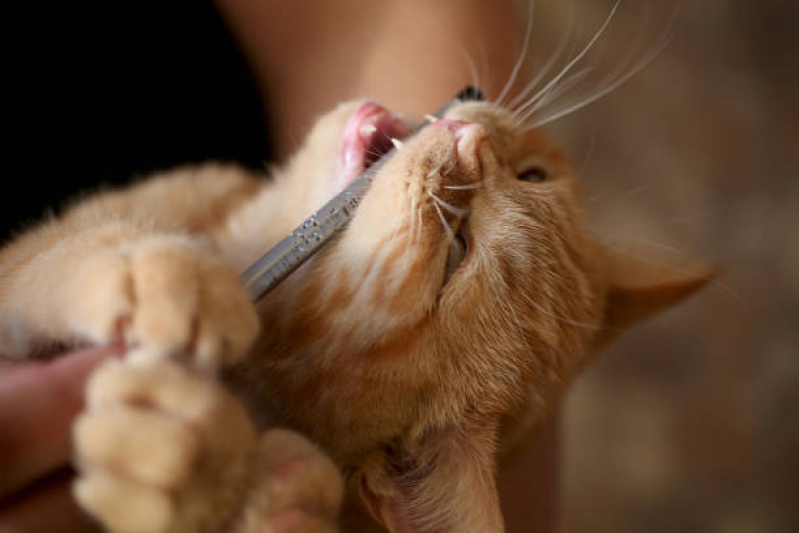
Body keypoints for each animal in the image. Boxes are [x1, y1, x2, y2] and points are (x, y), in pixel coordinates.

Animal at [1, 96, 712, 532]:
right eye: (533, 174)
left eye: (457, 252)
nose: (469, 134)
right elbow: (67, 248)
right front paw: (153, 267)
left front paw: (205, 467)